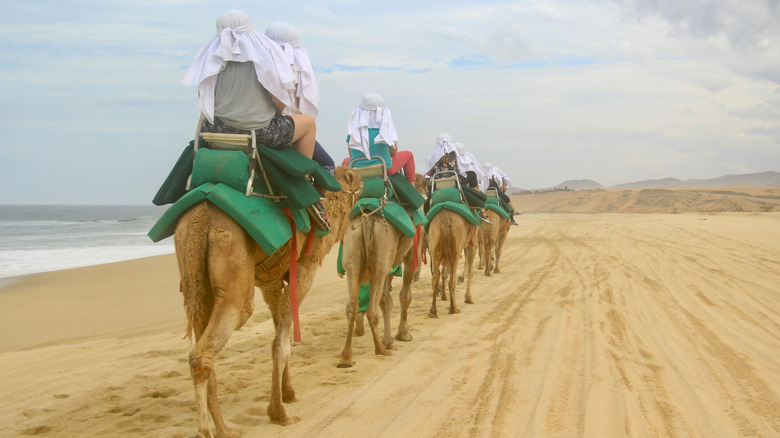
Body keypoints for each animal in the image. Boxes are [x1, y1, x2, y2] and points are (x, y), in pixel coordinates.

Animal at [174, 167, 360, 438]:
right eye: (354, 177)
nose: (365, 180)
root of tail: (202, 218)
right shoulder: (305, 270)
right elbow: (281, 343)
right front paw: (279, 413)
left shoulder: (271, 283)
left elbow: (281, 336)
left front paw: (288, 393)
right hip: (233, 268)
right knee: (205, 350)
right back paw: (206, 431)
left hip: (193, 272)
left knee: (204, 344)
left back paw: (224, 429)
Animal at [340, 173, 430, 368]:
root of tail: (367, 219)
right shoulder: (410, 256)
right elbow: (404, 296)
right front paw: (402, 335)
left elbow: (385, 299)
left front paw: (389, 339)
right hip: (382, 252)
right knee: (372, 310)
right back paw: (380, 349)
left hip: (353, 252)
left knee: (352, 306)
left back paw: (346, 356)